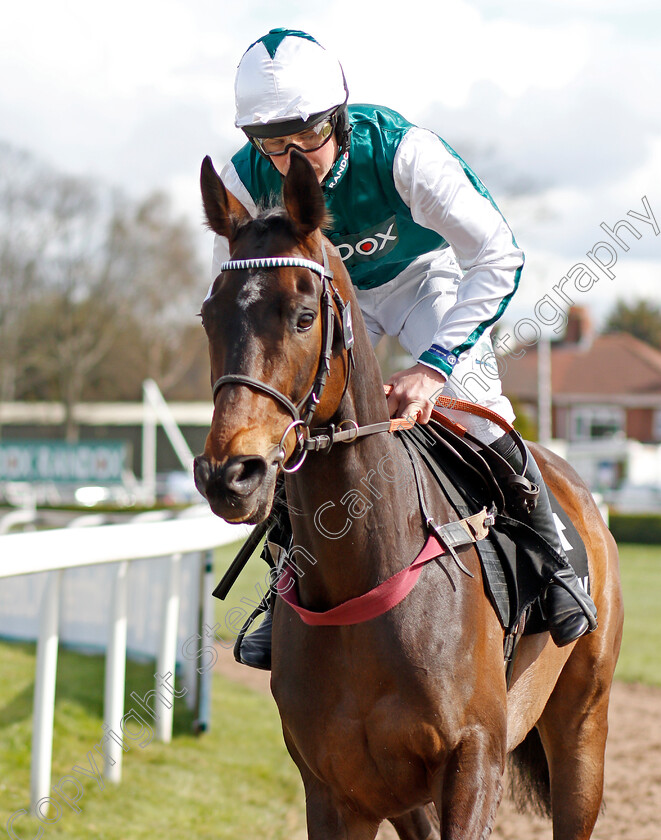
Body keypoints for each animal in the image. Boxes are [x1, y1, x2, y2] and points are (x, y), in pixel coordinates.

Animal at [195, 153, 624, 840]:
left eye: (304, 315)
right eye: (210, 315)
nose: (231, 474)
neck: (364, 576)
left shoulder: (475, 761)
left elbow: (495, 249)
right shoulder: (338, 789)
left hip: (583, 726)